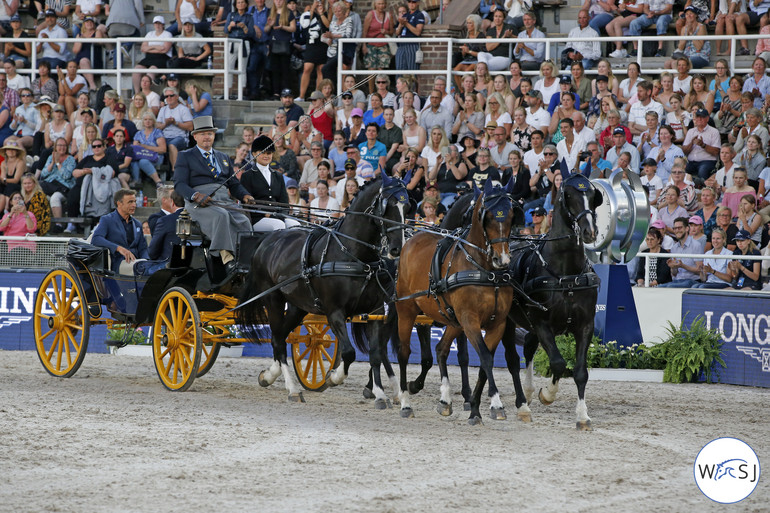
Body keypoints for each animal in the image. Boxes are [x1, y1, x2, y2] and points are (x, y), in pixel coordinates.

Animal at [236, 176, 408, 404]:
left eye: (407, 205)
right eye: (387, 206)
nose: (397, 248)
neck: (354, 256)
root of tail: (268, 239)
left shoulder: (375, 312)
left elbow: (376, 354)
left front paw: (380, 394)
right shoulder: (334, 312)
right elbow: (349, 353)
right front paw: (333, 377)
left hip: (298, 306)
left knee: (279, 336)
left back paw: (270, 375)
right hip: (273, 299)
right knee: (277, 340)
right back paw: (292, 389)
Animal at [392, 178, 512, 422]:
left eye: (512, 214)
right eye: (488, 216)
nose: (502, 259)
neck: (486, 272)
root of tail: (412, 238)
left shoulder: (497, 323)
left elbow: (484, 360)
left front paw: (474, 404)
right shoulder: (470, 320)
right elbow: (485, 357)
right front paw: (495, 403)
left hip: (452, 319)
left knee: (441, 349)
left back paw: (445, 400)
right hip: (406, 310)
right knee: (404, 352)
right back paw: (405, 402)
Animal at [500, 168, 604, 428]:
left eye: (592, 195)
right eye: (569, 195)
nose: (589, 232)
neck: (565, 274)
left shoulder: (585, 325)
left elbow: (580, 372)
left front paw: (582, 416)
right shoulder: (542, 323)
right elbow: (558, 363)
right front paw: (547, 394)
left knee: (527, 347)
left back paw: (527, 392)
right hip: (505, 321)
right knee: (511, 359)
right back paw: (520, 404)